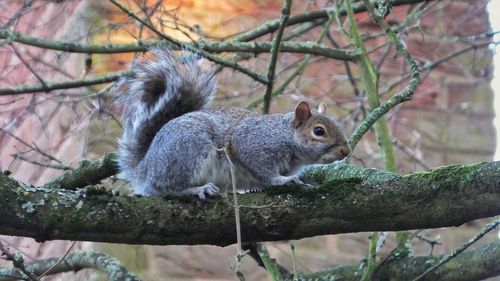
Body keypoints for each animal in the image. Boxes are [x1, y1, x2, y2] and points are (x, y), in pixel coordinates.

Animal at [117, 49, 352, 199]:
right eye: (319, 131)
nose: (346, 151)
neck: (284, 136)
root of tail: (145, 167)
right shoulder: (254, 145)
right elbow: (264, 171)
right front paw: (283, 181)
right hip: (187, 151)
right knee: (167, 187)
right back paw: (197, 190)